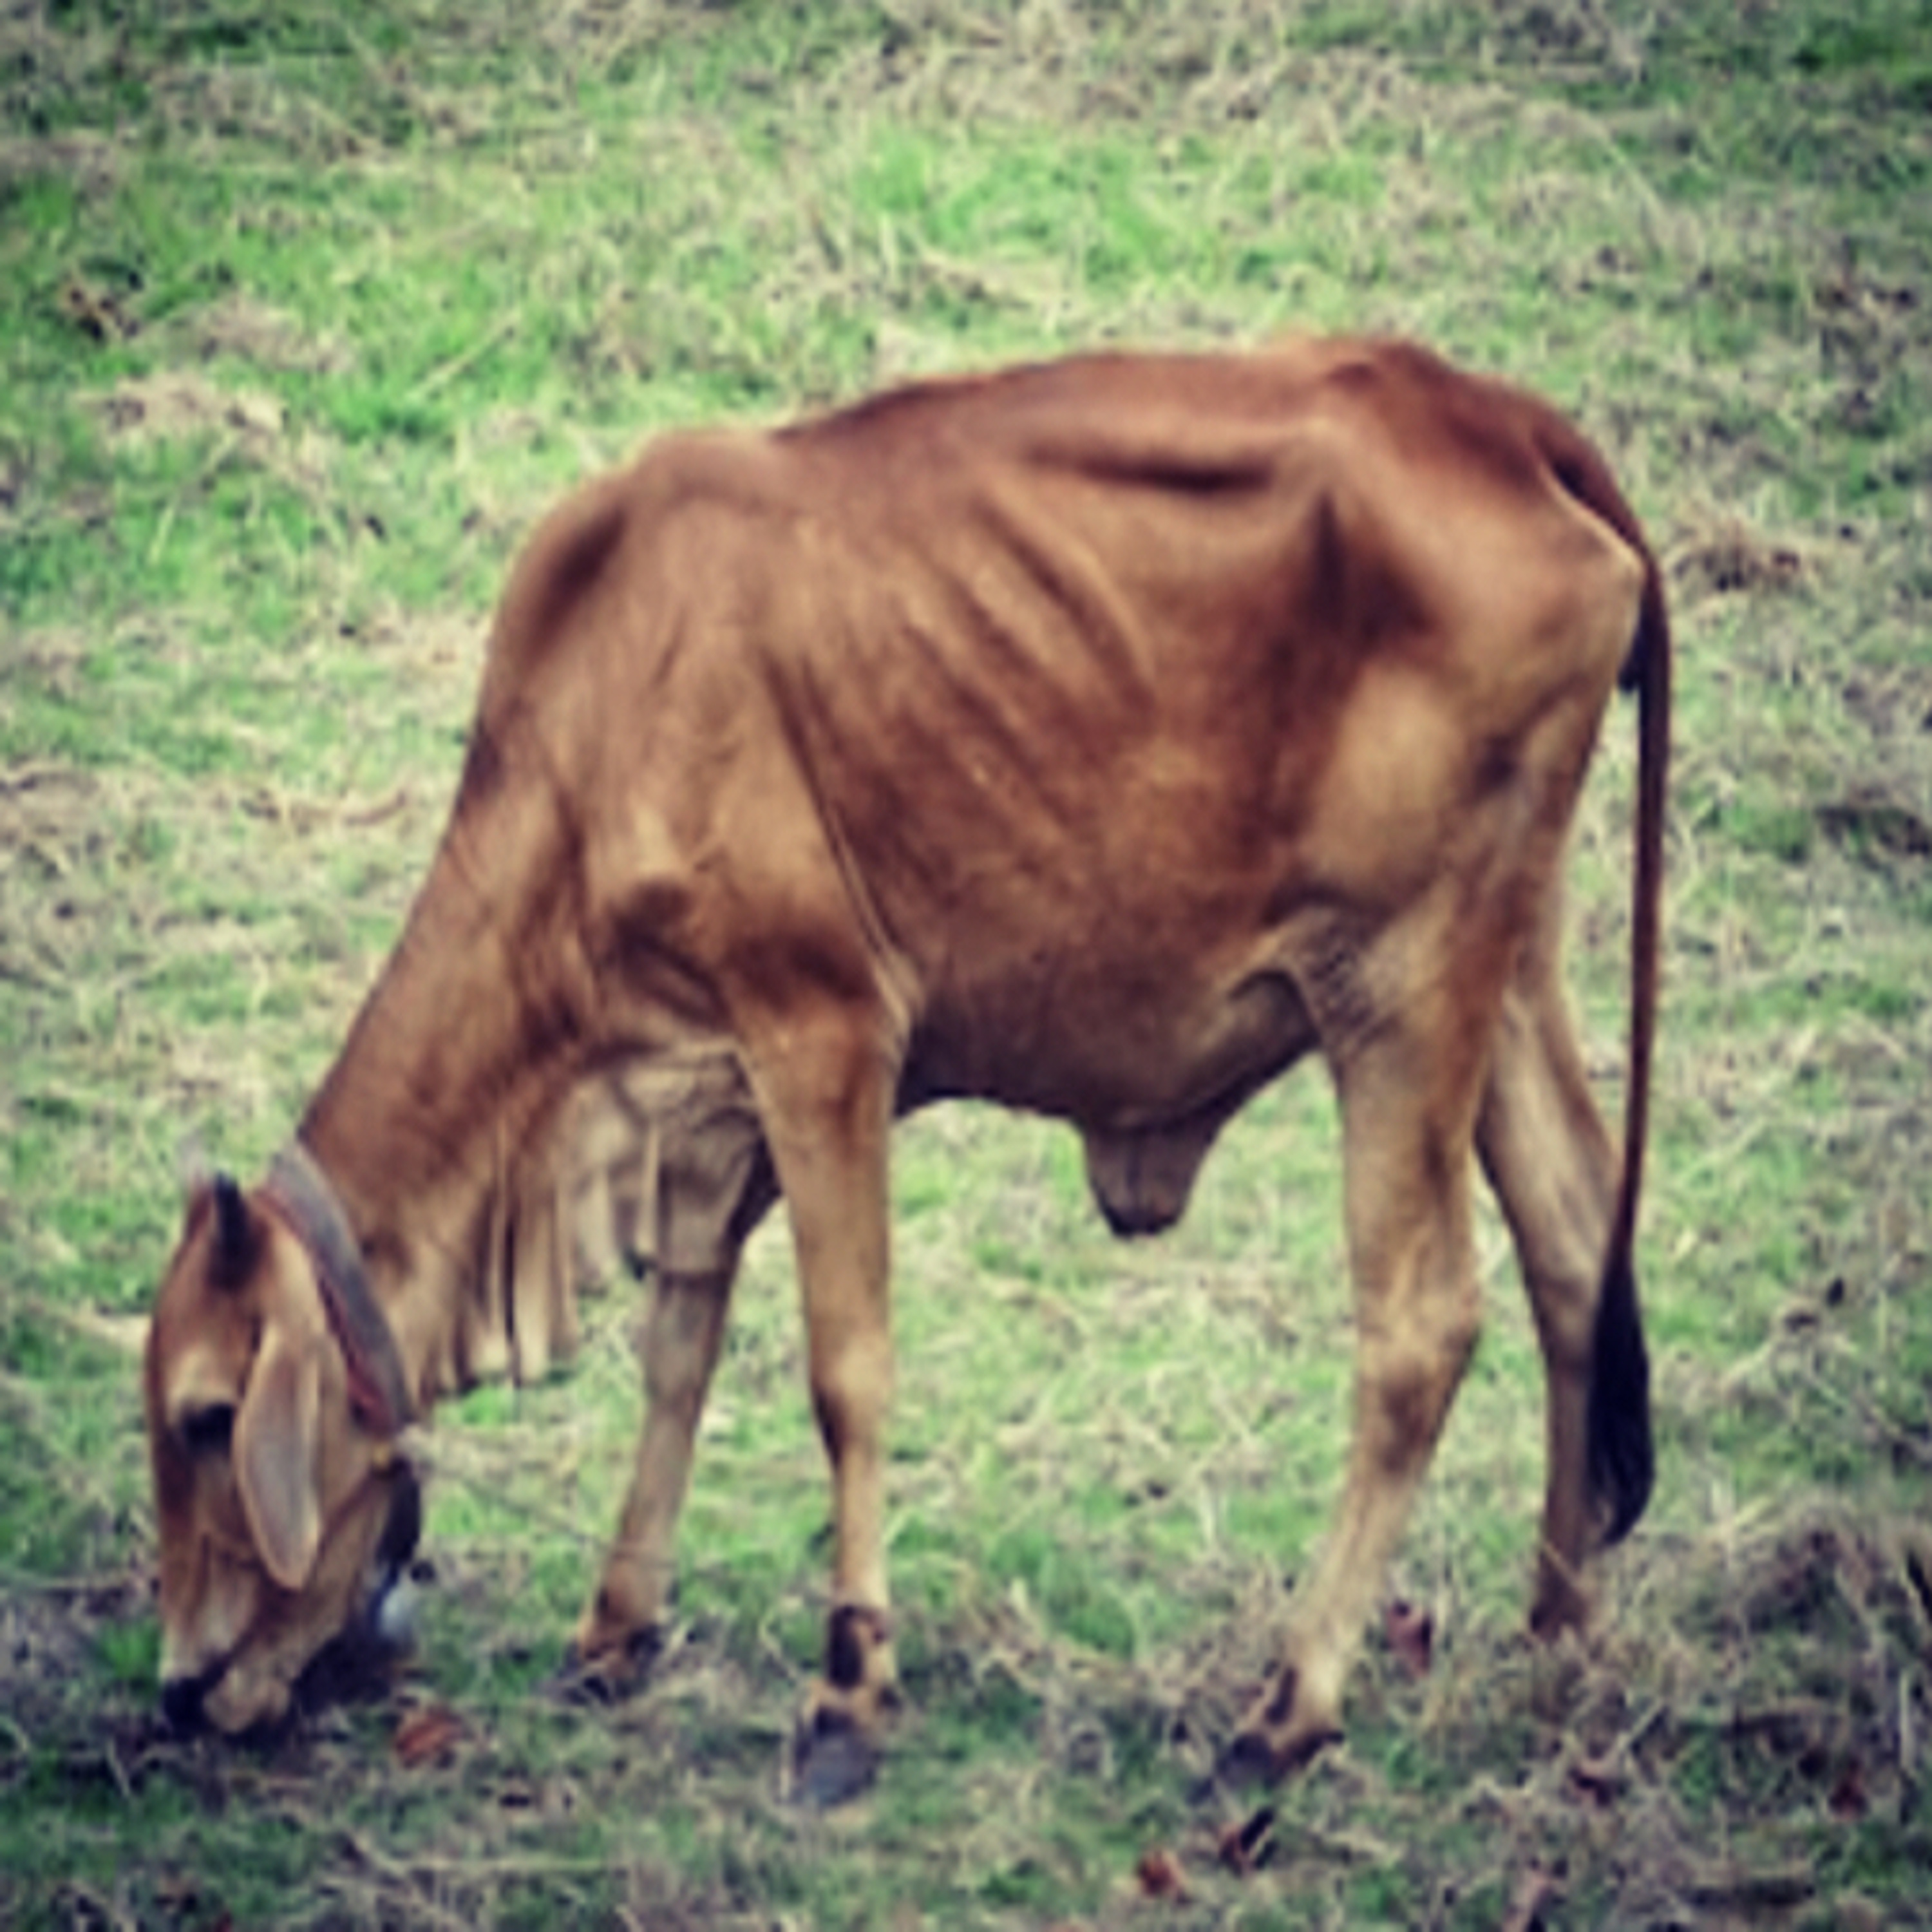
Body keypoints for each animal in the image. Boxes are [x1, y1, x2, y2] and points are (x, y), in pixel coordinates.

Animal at [143, 337, 1668, 1803]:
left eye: (208, 1418)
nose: (177, 1689)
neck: (598, 722)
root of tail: (1493, 417)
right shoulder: (700, 1103)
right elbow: (678, 1350)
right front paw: (616, 1630)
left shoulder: (823, 1035)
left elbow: (846, 1371)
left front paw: (849, 1696)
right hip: (1502, 972)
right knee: (1574, 1244)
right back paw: (1560, 1633)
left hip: (1398, 991)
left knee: (1420, 1326)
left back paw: (1288, 1710)